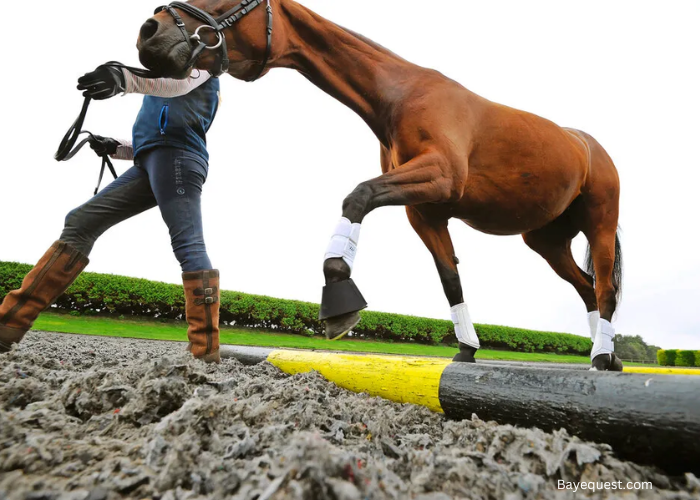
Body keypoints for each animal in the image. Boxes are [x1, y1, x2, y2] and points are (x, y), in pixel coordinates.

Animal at [135, 0, 624, 368]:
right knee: (585, 288)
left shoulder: (439, 177)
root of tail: (589, 146)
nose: (149, 30)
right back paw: (608, 354)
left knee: (603, 287)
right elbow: (450, 280)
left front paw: (338, 292)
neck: (402, 95)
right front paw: (466, 349)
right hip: (545, 240)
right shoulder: (425, 212)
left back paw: (602, 356)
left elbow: (358, 196)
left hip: (599, 224)